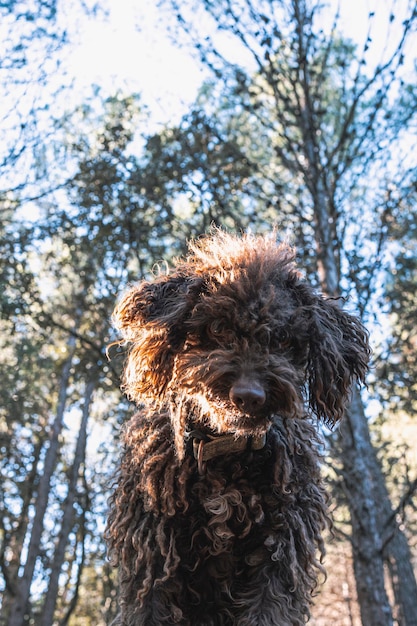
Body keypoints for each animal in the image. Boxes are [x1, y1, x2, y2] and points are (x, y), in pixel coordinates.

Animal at [105, 230, 368, 624]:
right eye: (217, 328)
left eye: (283, 339)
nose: (249, 396)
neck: (226, 457)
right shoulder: (152, 554)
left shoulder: (281, 551)